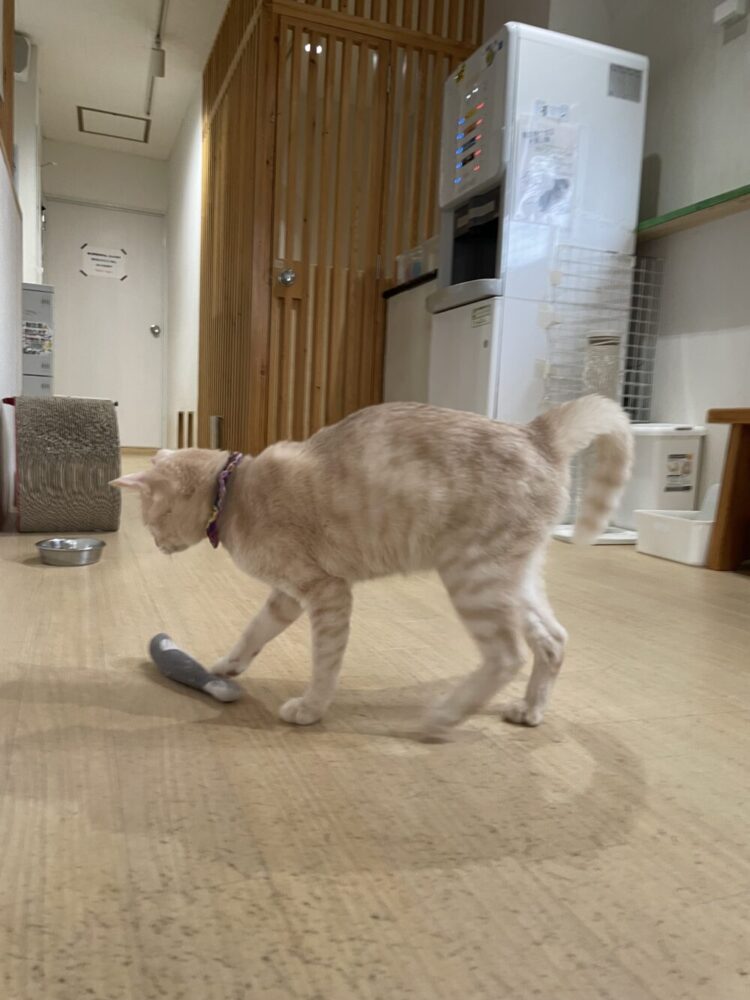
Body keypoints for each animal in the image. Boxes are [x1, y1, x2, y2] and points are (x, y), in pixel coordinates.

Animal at [112, 396, 632, 737]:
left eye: (151, 521)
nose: (156, 544)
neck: (234, 489)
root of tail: (536, 433)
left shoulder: (326, 593)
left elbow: (325, 662)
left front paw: (312, 708)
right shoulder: (285, 597)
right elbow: (253, 631)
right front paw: (226, 665)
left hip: (474, 578)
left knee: (507, 656)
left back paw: (444, 717)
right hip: (513, 583)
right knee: (553, 640)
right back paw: (529, 709)